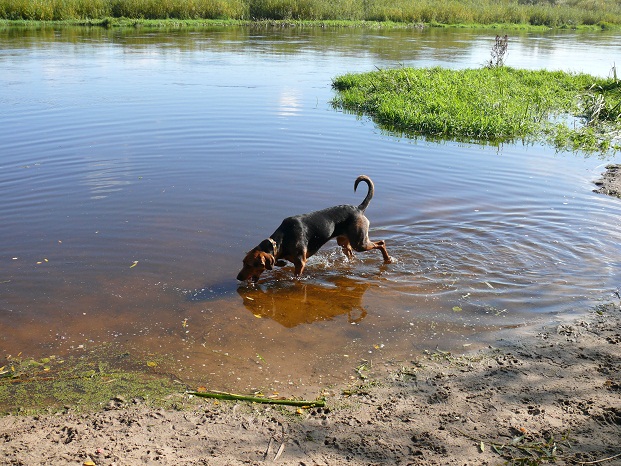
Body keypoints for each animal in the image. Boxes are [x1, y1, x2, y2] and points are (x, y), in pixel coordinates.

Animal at [235, 176, 390, 282]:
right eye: (243, 263)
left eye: (249, 265)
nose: (238, 277)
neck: (281, 240)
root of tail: (358, 209)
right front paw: (281, 263)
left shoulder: (300, 263)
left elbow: (296, 275)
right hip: (344, 242)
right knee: (351, 254)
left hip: (360, 243)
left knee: (381, 243)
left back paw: (388, 259)